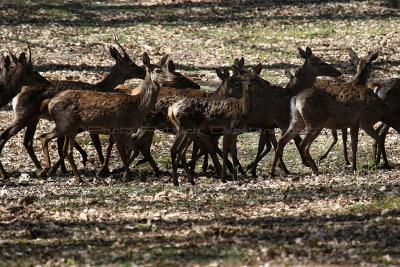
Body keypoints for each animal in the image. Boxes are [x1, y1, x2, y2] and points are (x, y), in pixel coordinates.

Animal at [0, 36, 145, 180]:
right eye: (132, 64)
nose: (144, 72)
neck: (102, 87)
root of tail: (16, 96)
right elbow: (96, 145)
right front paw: (103, 168)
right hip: (23, 114)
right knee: (7, 135)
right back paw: (11, 173)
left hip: (33, 118)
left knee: (27, 141)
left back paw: (39, 169)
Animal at [38, 53, 176, 184]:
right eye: (157, 70)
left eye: (165, 68)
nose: (174, 77)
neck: (137, 107)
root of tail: (50, 103)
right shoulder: (118, 130)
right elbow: (122, 154)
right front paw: (125, 175)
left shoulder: (127, 132)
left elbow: (135, 149)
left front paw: (118, 171)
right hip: (64, 123)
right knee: (44, 136)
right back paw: (46, 169)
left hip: (71, 128)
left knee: (67, 151)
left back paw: (78, 178)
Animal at [244, 47, 340, 178]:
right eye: (321, 62)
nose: (338, 72)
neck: (291, 92)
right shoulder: (283, 122)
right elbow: (294, 140)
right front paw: (305, 163)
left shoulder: (271, 125)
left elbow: (270, 145)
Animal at [268, 49, 400, 179]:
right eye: (321, 62)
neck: (381, 110)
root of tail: (295, 98)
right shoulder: (364, 122)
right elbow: (378, 139)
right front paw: (378, 164)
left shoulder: (353, 123)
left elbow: (353, 144)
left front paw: (354, 166)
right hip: (315, 122)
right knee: (303, 144)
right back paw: (314, 169)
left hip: (297, 120)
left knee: (282, 140)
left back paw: (273, 171)